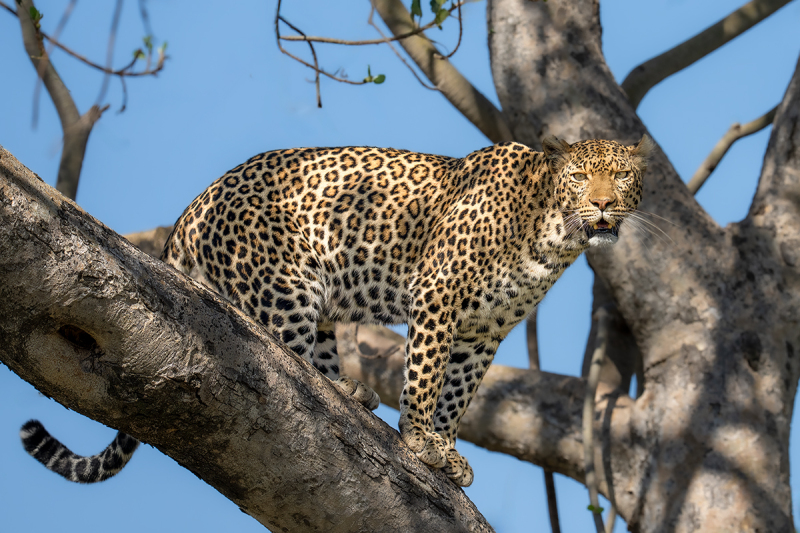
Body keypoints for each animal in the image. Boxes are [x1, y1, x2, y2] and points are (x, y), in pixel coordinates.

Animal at [21, 134, 652, 487]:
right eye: (580, 177)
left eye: (621, 175)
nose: (602, 204)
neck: (554, 234)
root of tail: (191, 210)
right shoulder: (439, 294)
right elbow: (426, 379)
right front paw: (420, 441)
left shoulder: (484, 332)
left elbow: (457, 395)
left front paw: (448, 450)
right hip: (286, 283)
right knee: (288, 362)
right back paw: (346, 391)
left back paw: (351, 390)